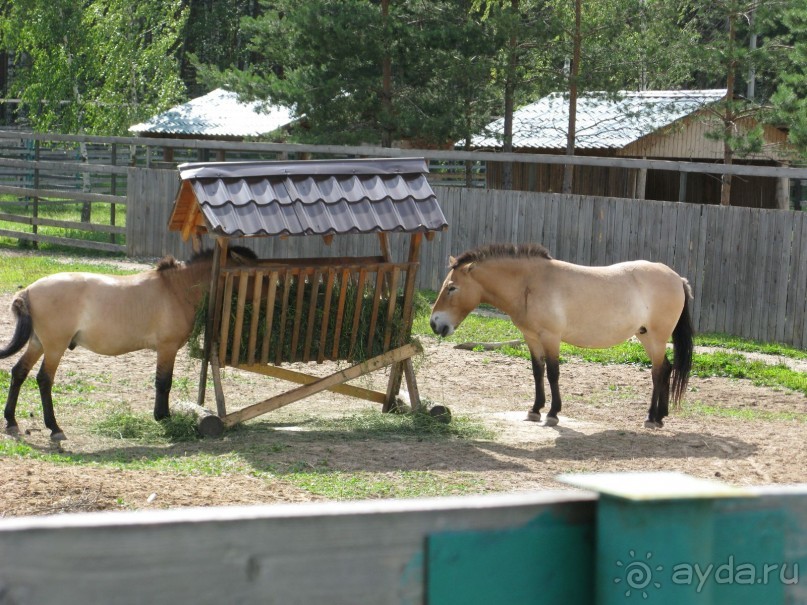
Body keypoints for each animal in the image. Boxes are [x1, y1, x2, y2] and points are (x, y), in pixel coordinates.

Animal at [0, 245, 256, 438]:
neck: (177, 288)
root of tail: (29, 291)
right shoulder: (167, 348)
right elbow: (164, 383)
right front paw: (163, 417)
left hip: (38, 344)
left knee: (19, 372)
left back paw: (11, 421)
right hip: (54, 347)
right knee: (44, 380)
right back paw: (54, 428)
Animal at [430, 243, 696, 428]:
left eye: (452, 288)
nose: (435, 323)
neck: (530, 284)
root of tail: (677, 278)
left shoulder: (551, 337)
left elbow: (553, 373)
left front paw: (552, 414)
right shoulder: (532, 338)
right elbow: (537, 372)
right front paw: (535, 410)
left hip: (656, 338)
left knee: (658, 372)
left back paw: (651, 417)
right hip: (646, 336)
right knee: (666, 369)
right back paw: (661, 416)